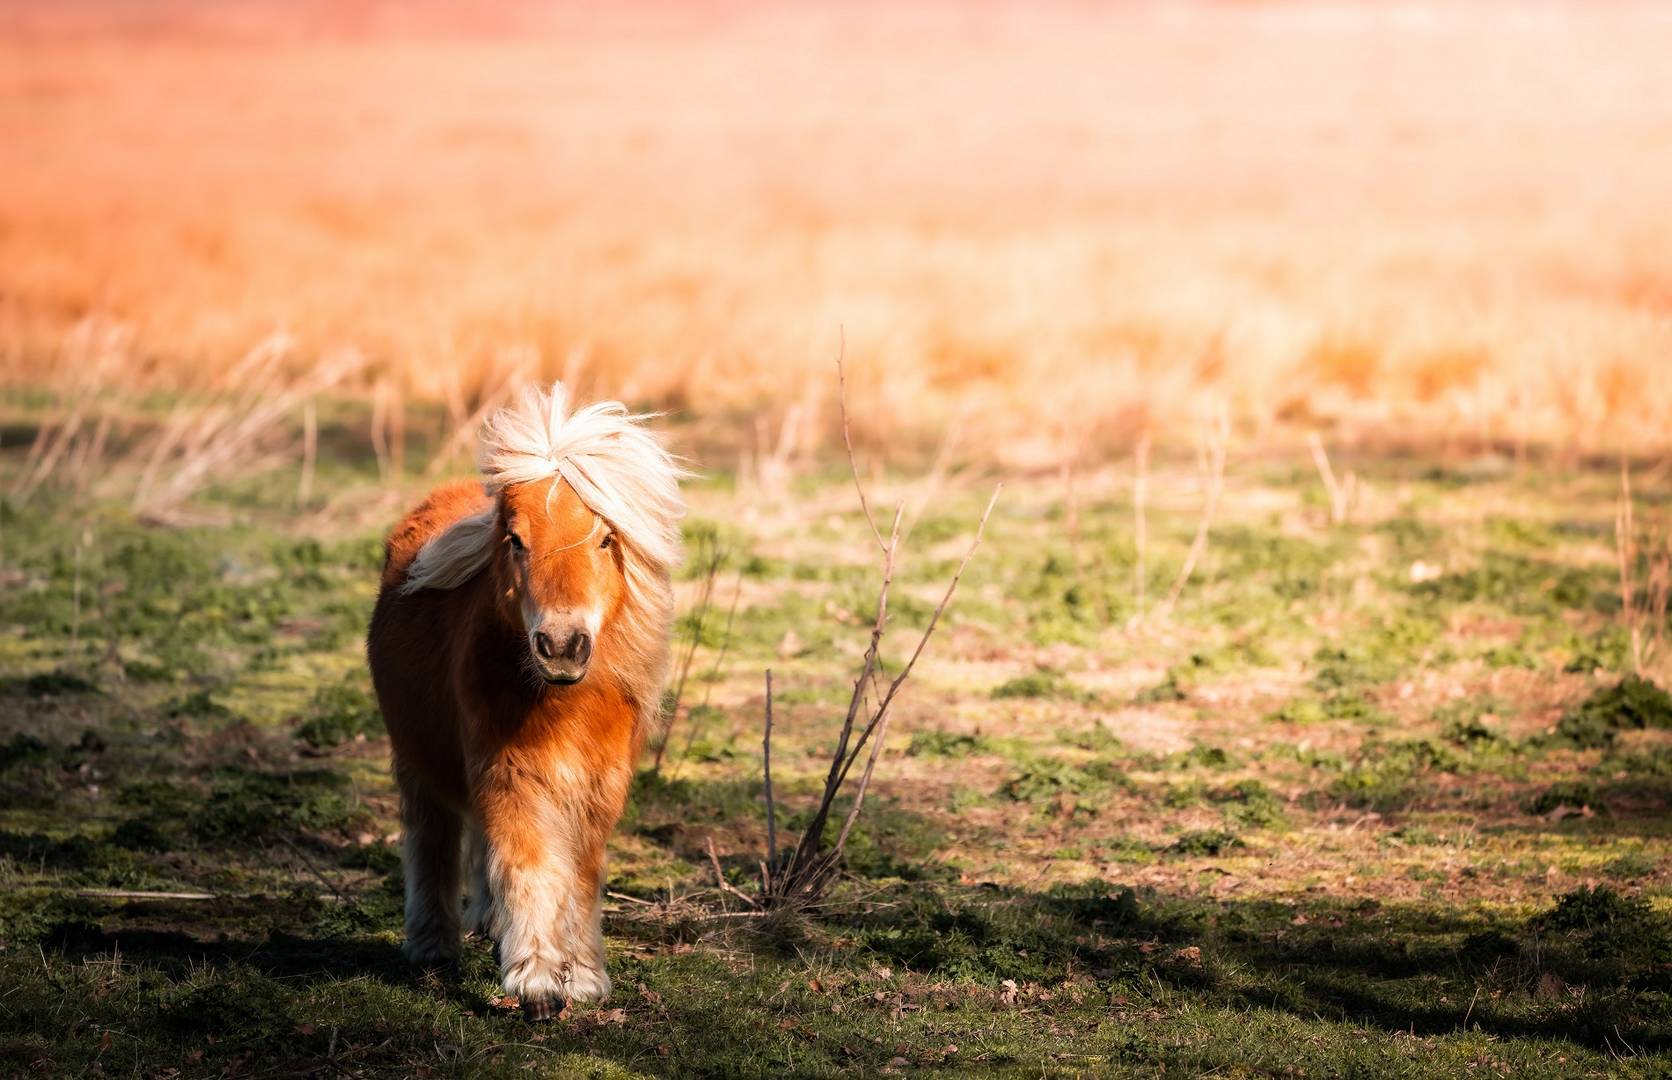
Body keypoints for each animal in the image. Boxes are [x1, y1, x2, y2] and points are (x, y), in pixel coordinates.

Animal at [366, 382, 685, 1019]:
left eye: (607, 538)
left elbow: (580, 874)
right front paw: (536, 980)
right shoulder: (509, 772)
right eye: (514, 541)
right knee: (432, 839)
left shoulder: (599, 784)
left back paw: (491, 930)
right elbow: (528, 862)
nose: (561, 645)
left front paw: (582, 977)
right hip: (418, 760)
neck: (564, 706)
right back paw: (433, 946)